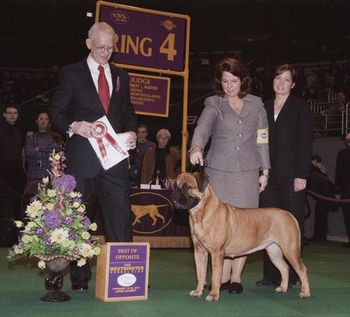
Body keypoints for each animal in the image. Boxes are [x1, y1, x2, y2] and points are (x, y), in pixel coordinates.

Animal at [171, 170, 310, 302]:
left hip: (290, 250)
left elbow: (216, 276)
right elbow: (200, 274)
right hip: (274, 251)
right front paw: (198, 291)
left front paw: (213, 295)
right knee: (284, 268)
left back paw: (305, 293)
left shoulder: (216, 253)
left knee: (302, 270)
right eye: (175, 186)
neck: (201, 214)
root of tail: (289, 215)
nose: (175, 193)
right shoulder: (199, 252)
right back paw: (282, 288)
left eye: (187, 187)